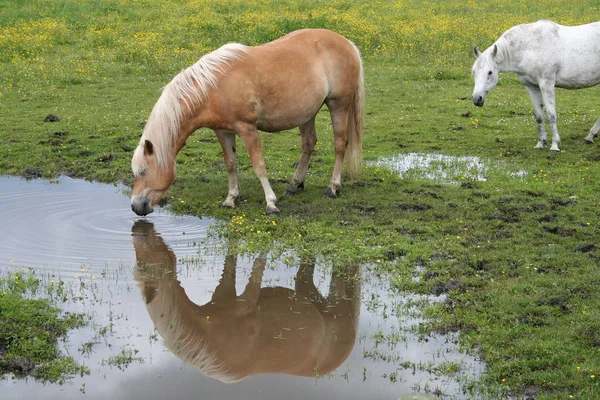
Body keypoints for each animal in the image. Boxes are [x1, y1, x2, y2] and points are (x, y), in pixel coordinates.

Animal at [131, 222, 360, 382]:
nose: (138, 226)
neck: (208, 339)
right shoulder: (223, 292)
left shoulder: (246, 302)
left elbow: (258, 264)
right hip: (308, 292)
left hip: (336, 301)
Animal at [132, 29, 366, 216]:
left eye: (143, 172)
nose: (135, 207)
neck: (213, 87)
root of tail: (348, 43)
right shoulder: (223, 131)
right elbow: (230, 164)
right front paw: (230, 198)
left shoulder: (247, 129)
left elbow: (259, 166)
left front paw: (271, 204)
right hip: (307, 113)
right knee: (308, 144)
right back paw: (294, 185)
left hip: (338, 105)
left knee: (340, 144)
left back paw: (332, 188)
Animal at [472, 19, 600, 152]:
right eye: (474, 71)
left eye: (490, 72)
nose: (476, 98)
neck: (529, 48)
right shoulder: (532, 87)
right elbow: (539, 116)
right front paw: (541, 143)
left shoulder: (547, 84)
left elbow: (551, 115)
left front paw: (555, 145)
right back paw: (590, 136)